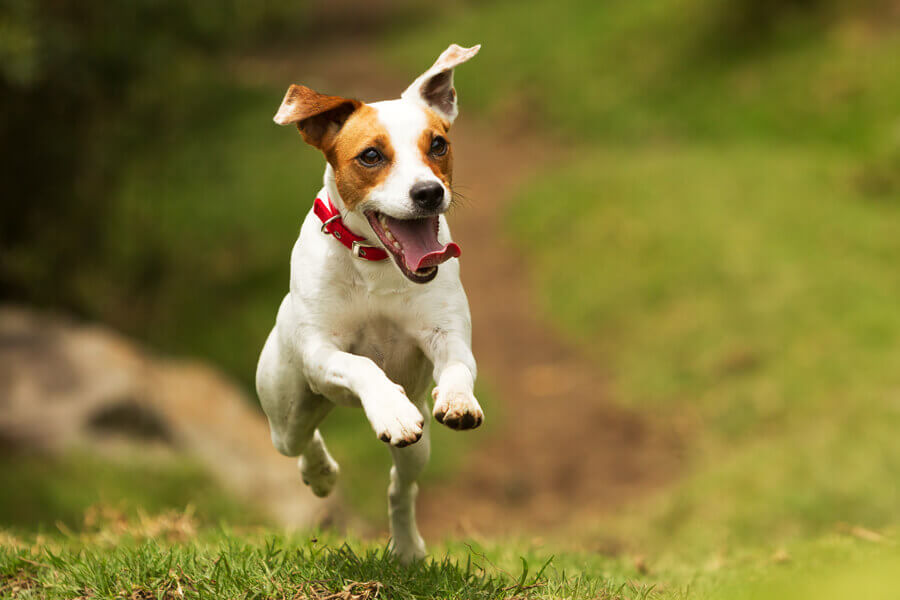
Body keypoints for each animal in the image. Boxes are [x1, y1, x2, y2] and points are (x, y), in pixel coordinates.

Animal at [256, 43, 486, 564]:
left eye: (437, 145)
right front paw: (389, 409)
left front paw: (459, 399)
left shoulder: (447, 335)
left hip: (417, 453)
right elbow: (362, 365)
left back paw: (406, 545)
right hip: (286, 407)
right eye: (371, 156)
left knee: (401, 487)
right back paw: (320, 473)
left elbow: (458, 367)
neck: (379, 265)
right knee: (299, 440)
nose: (429, 192)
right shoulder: (321, 352)